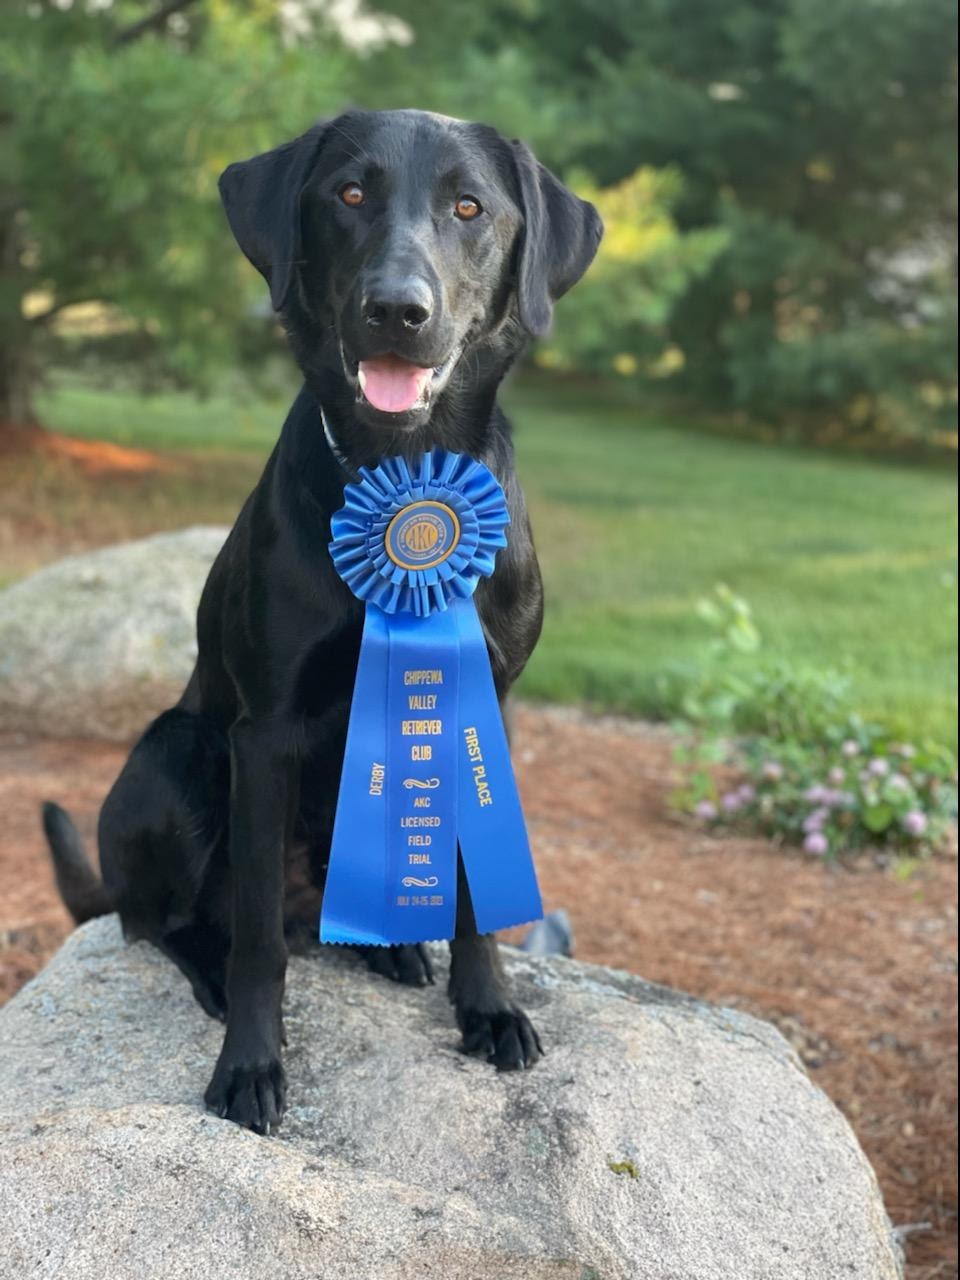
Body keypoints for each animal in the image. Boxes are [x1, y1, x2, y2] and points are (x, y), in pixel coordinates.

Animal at [47, 107, 601, 1131]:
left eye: (470, 207)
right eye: (349, 194)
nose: (396, 310)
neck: (402, 468)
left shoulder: (485, 707)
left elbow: (473, 895)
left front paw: (489, 1007)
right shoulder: (261, 733)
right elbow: (259, 940)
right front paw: (251, 1065)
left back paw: (392, 946)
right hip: (178, 753)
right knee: (165, 920)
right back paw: (212, 971)